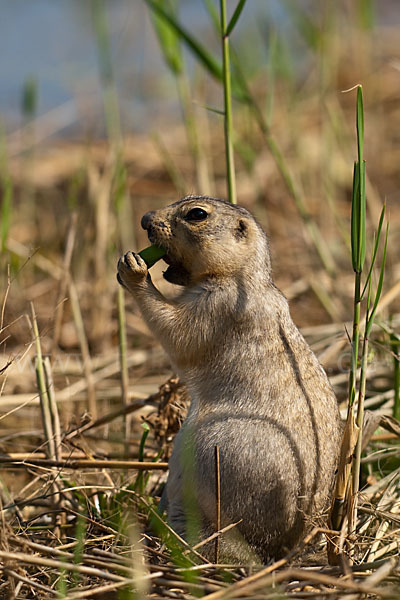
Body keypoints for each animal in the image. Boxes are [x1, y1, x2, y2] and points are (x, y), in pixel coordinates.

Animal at [116, 196, 340, 564]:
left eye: (196, 214)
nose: (145, 219)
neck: (242, 276)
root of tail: (283, 548)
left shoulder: (217, 305)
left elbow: (178, 332)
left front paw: (133, 269)